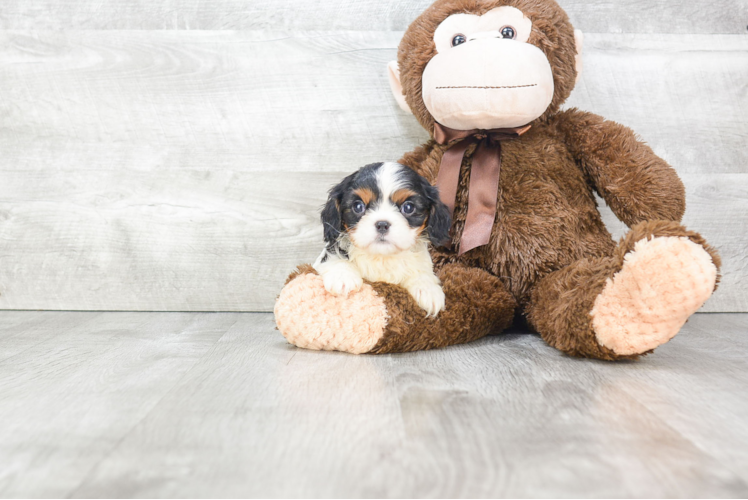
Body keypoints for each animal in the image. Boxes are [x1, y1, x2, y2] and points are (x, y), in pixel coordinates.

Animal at [314, 162, 452, 314]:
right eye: (358, 206)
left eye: (408, 207)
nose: (382, 224)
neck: (382, 257)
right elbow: (335, 258)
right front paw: (343, 277)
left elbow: (421, 271)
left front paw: (428, 289)